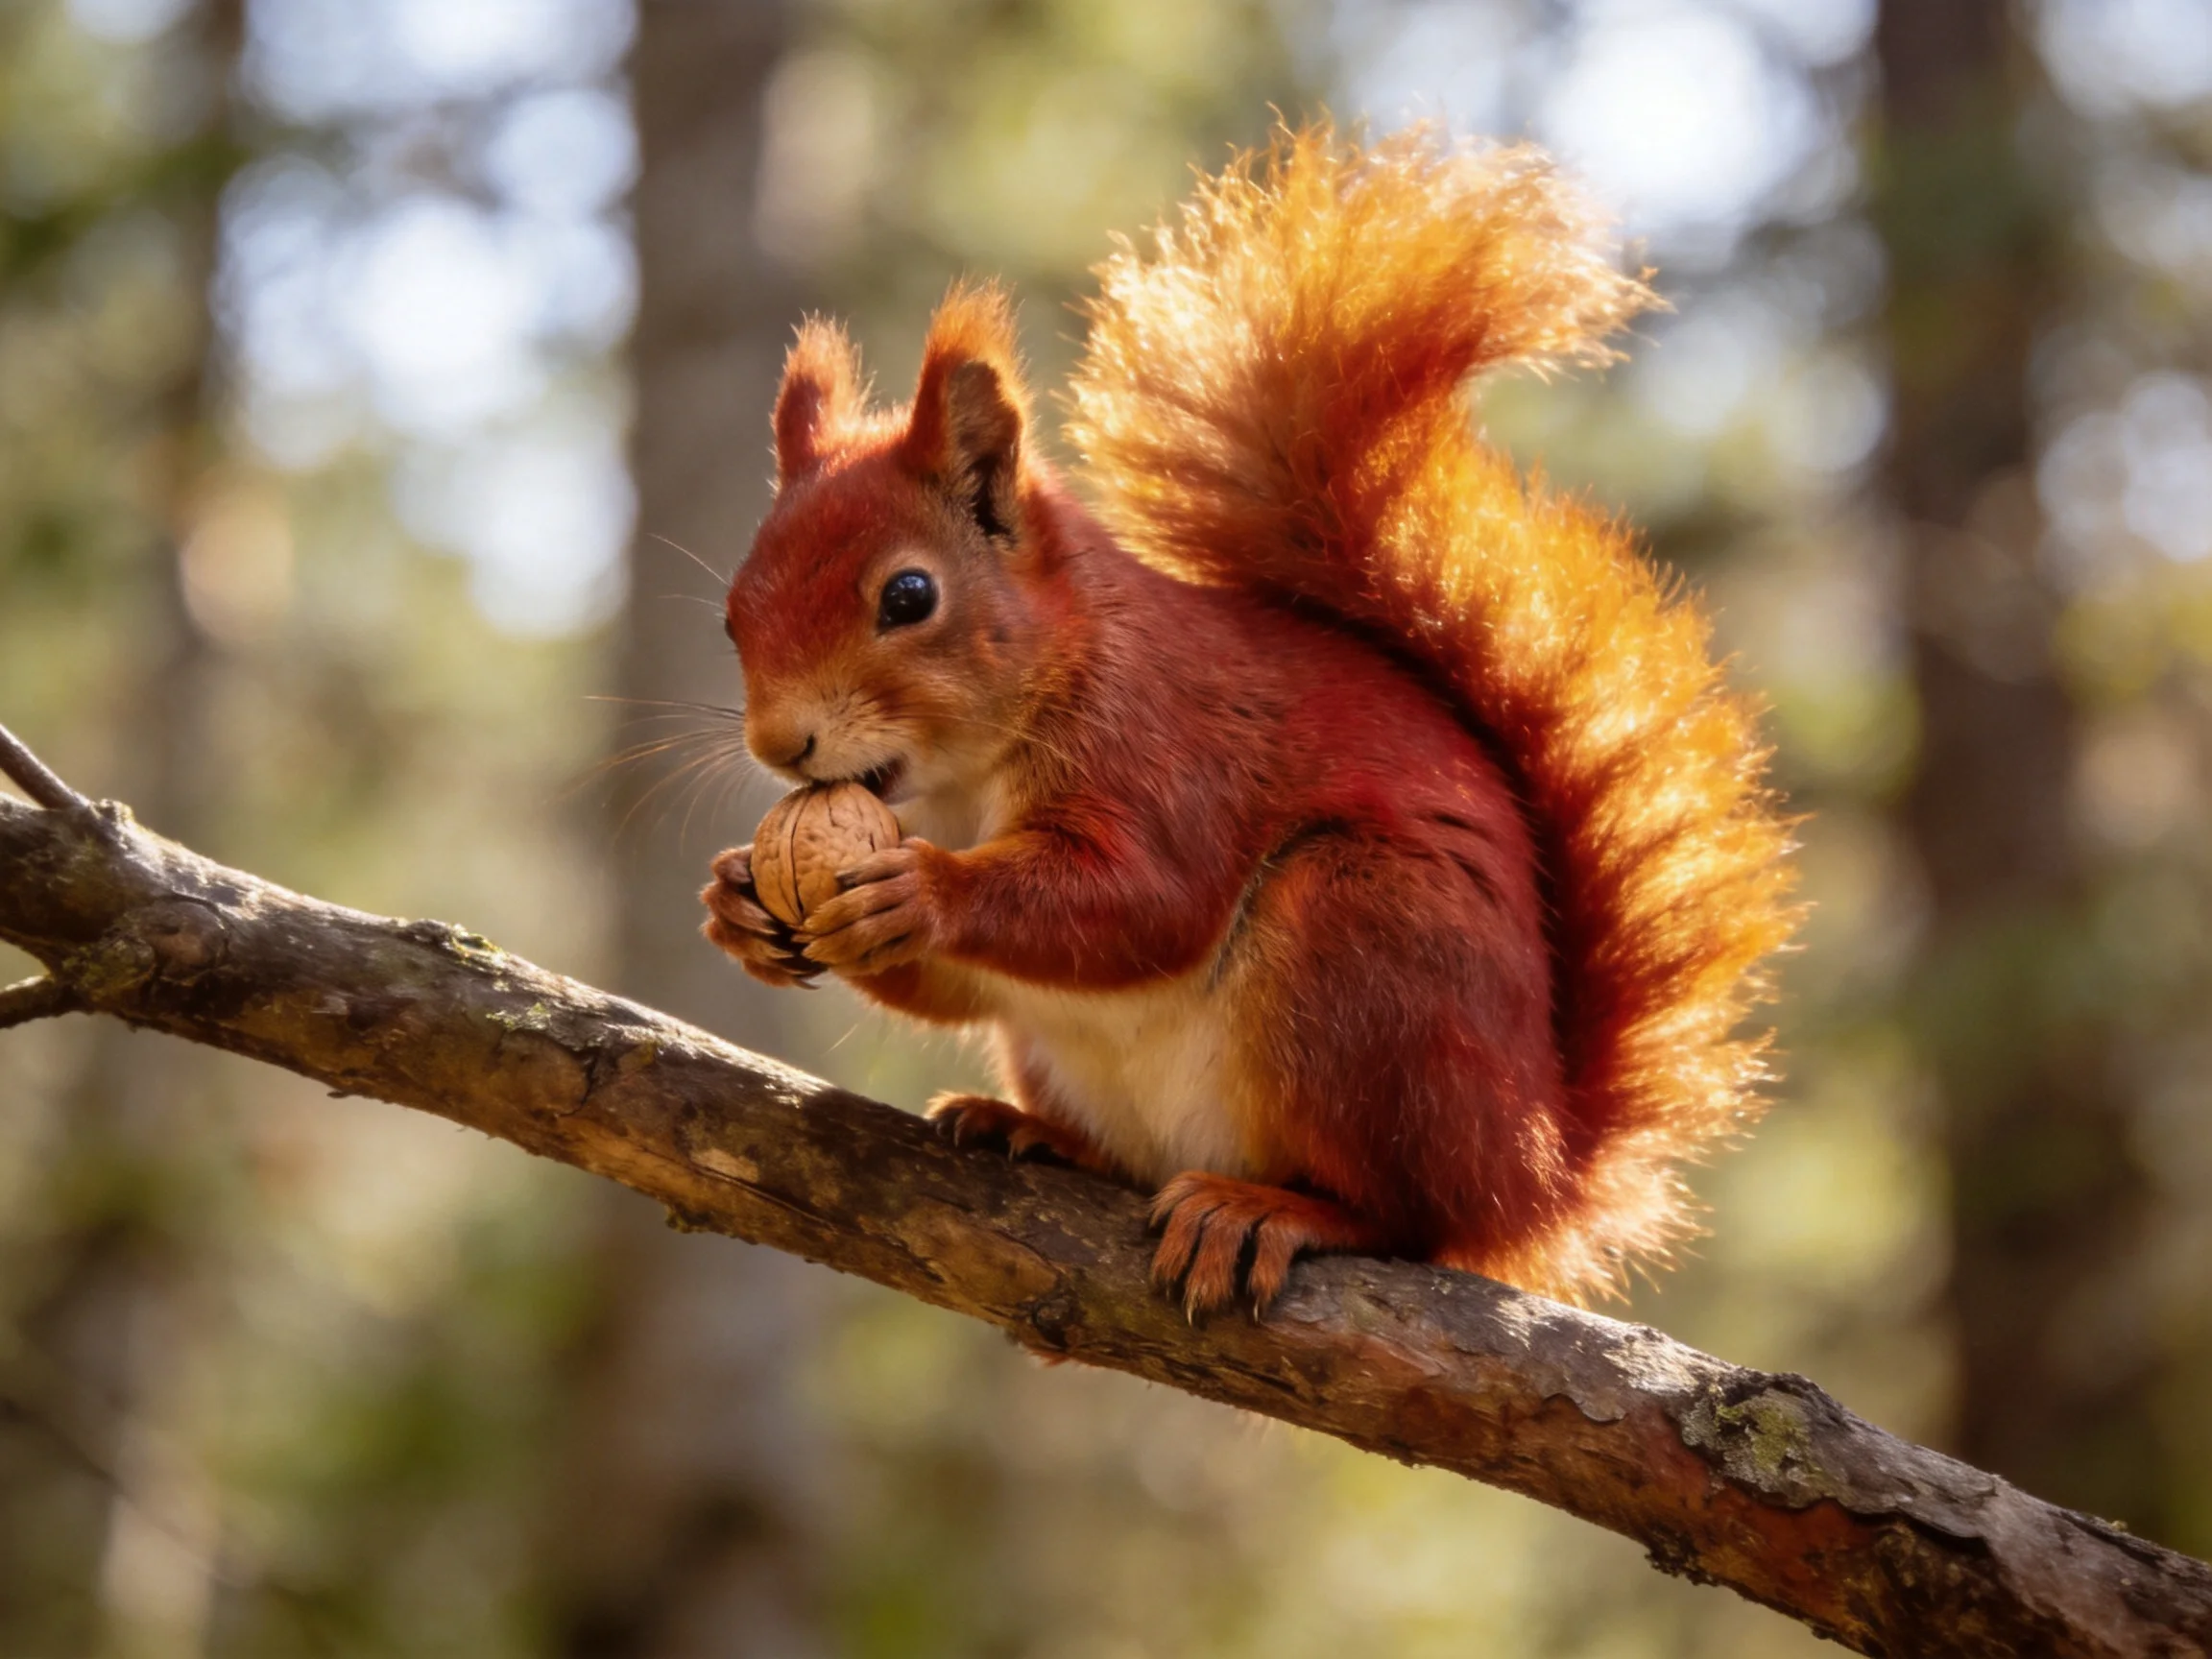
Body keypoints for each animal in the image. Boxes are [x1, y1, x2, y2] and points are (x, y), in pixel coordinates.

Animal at [701, 120, 1798, 1316]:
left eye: (909, 596)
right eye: (731, 613)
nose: (779, 746)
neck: (964, 778)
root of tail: (1539, 1167)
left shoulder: (1168, 743)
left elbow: (1147, 900)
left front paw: (925, 892)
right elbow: (958, 987)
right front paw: (737, 901)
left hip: (1365, 951)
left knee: (1409, 1219)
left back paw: (1273, 1209)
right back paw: (1035, 1134)